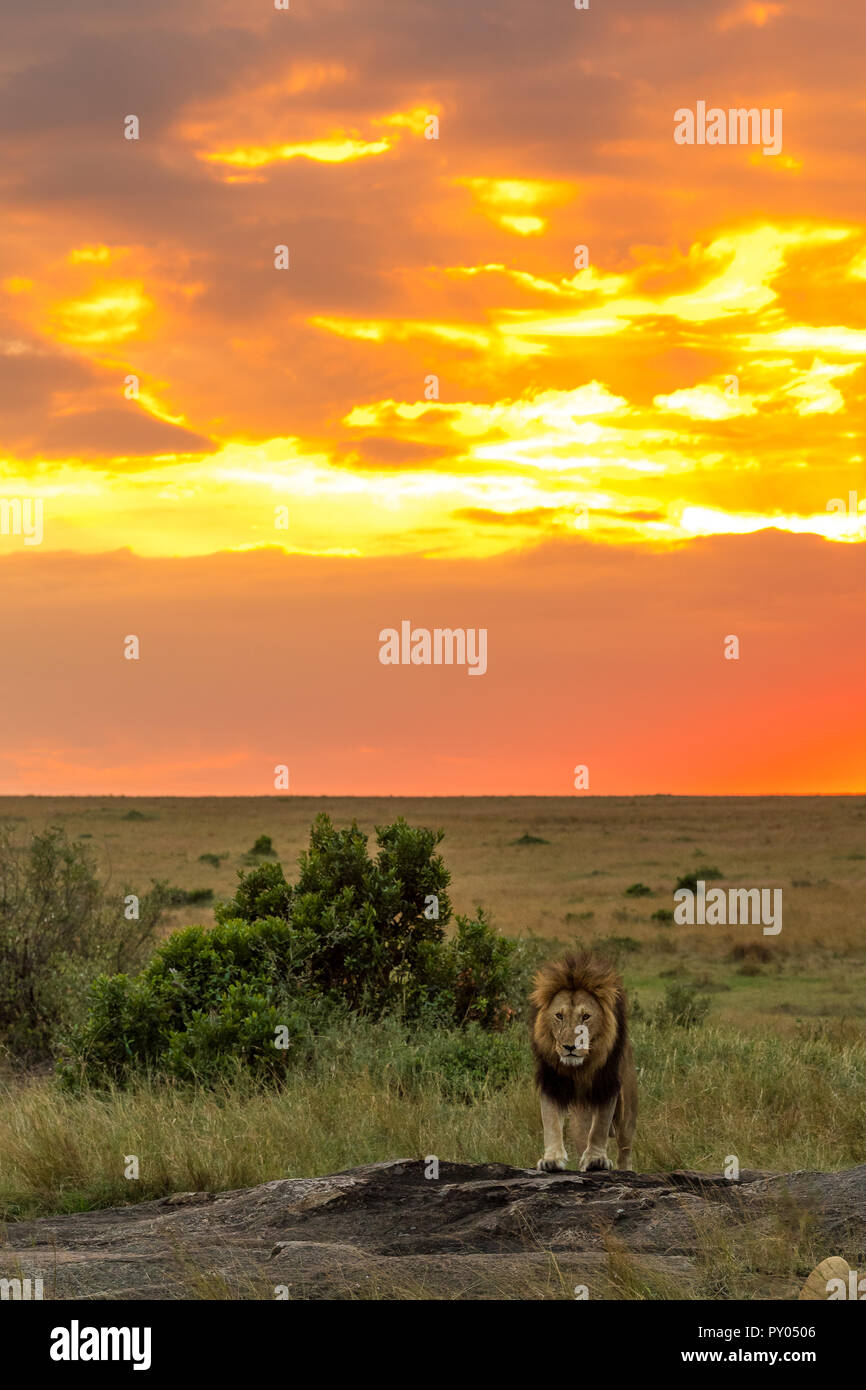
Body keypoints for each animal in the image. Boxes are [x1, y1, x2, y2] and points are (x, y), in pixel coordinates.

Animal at [528, 950, 636, 1167]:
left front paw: (596, 1159)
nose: (570, 1047)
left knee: (624, 1150)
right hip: (580, 1117)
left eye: (586, 1016)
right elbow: (550, 1120)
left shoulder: (607, 1084)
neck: (578, 1069)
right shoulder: (552, 1082)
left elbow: (600, 1125)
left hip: (627, 1114)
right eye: (559, 1016)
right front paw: (552, 1159)